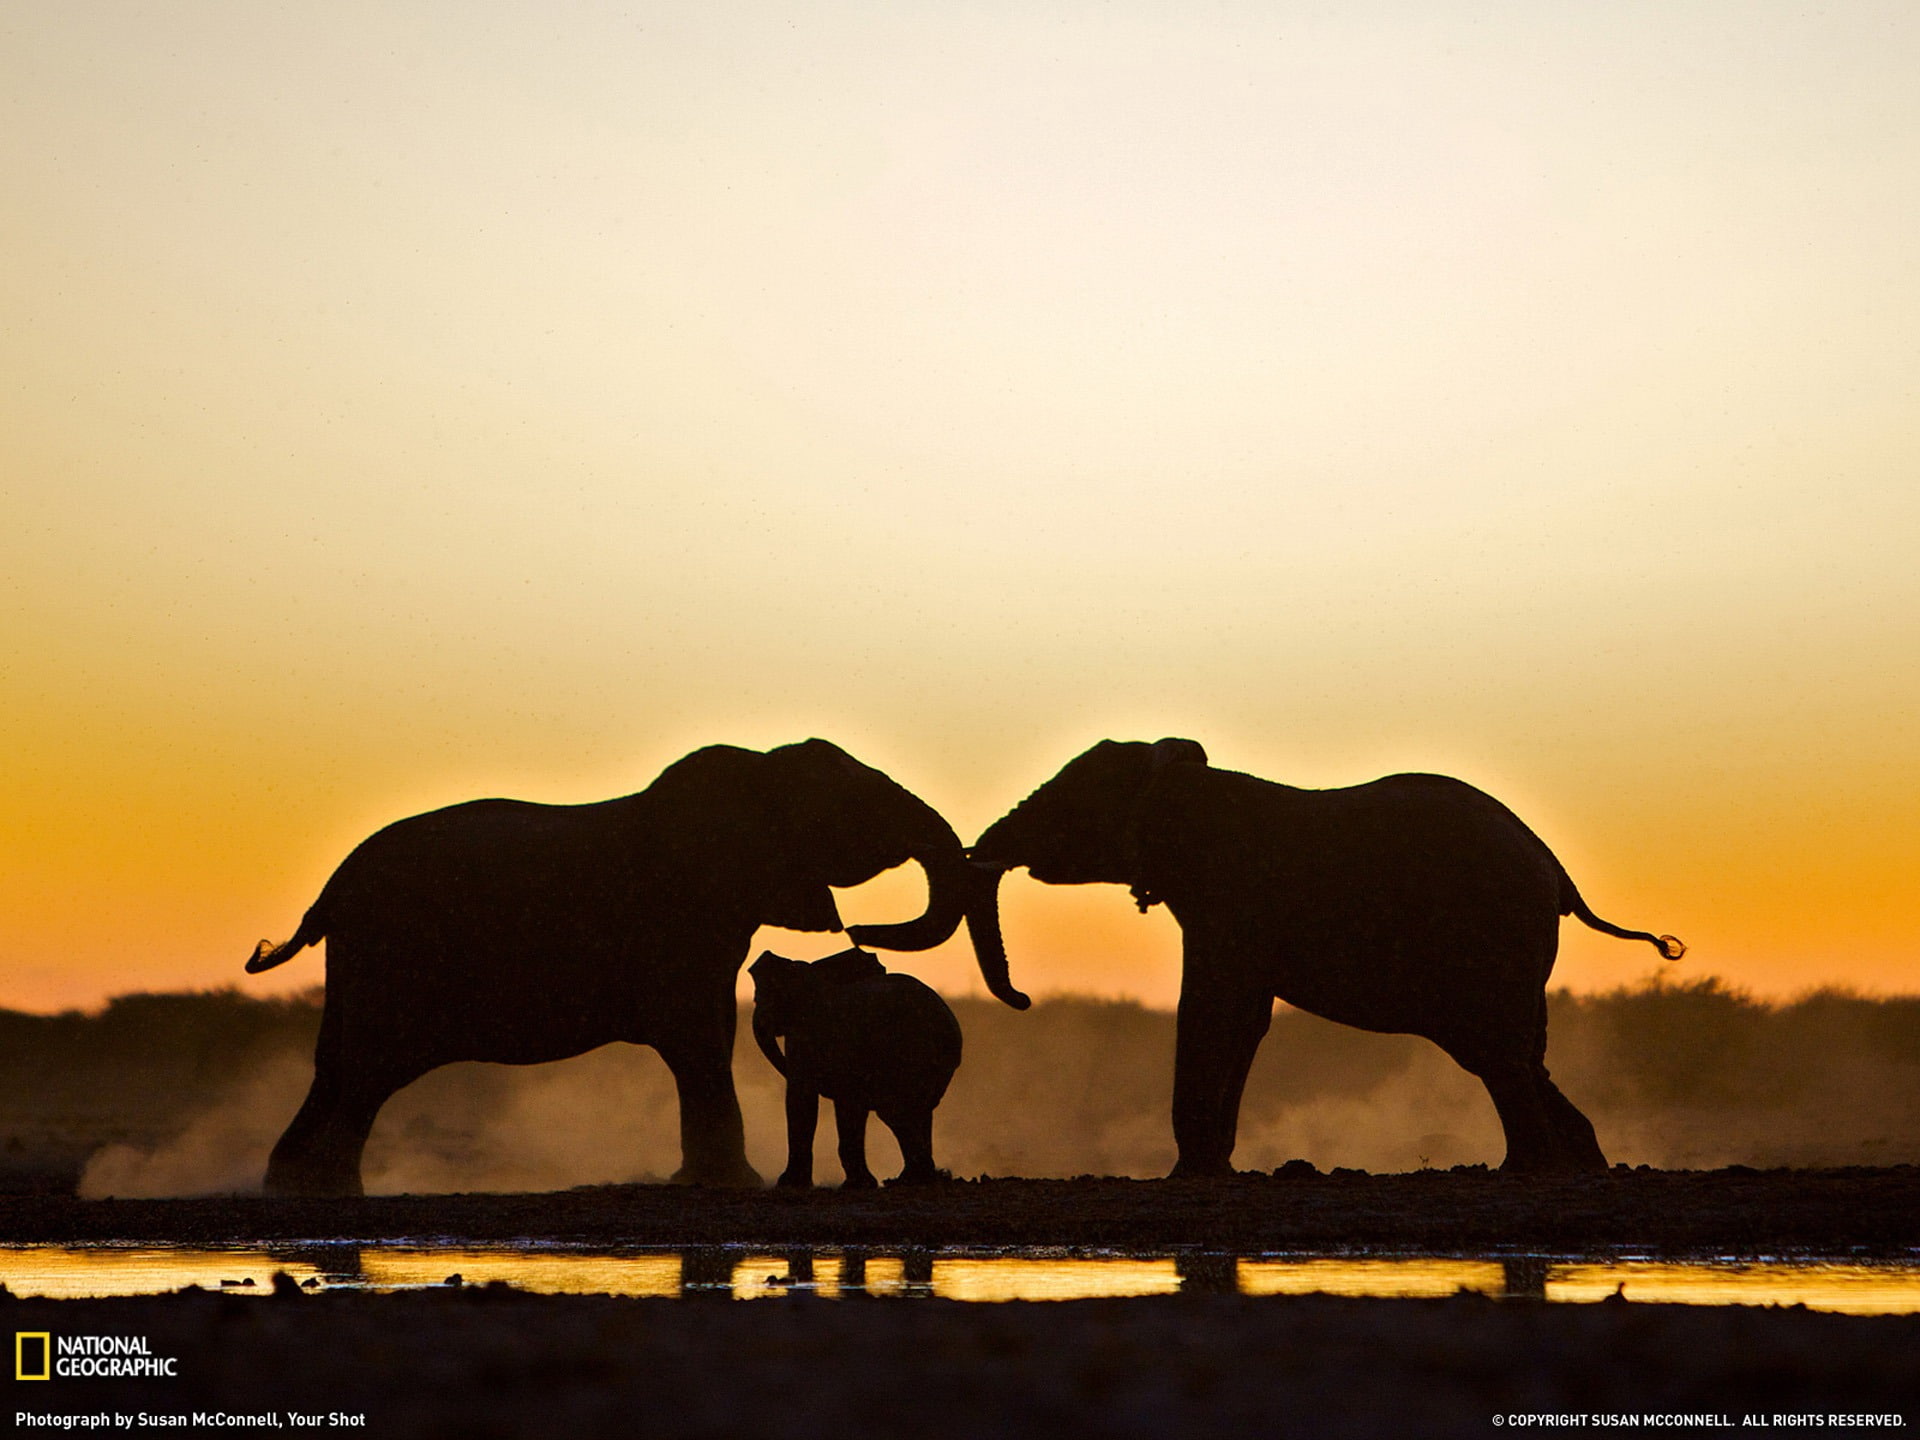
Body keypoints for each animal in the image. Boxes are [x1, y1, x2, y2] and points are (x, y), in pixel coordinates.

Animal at [749, 947, 962, 1188]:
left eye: (757, 999)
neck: (812, 971)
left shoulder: (807, 1032)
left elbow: (803, 1097)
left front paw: (790, 1184)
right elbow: (848, 1105)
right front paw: (861, 1184)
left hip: (906, 1053)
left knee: (894, 1111)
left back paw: (918, 1178)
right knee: (922, 1109)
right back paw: (918, 1178)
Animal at [964, 739, 1685, 1175]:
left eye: (1068, 798)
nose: (1022, 998)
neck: (1181, 780)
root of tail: (1556, 871)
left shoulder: (1230, 894)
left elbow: (1208, 1006)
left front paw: (1187, 1175)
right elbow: (1246, 1019)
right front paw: (1214, 1169)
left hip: (1490, 939)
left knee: (1500, 1053)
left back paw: (1522, 1170)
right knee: (1513, 1054)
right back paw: (1574, 1163)